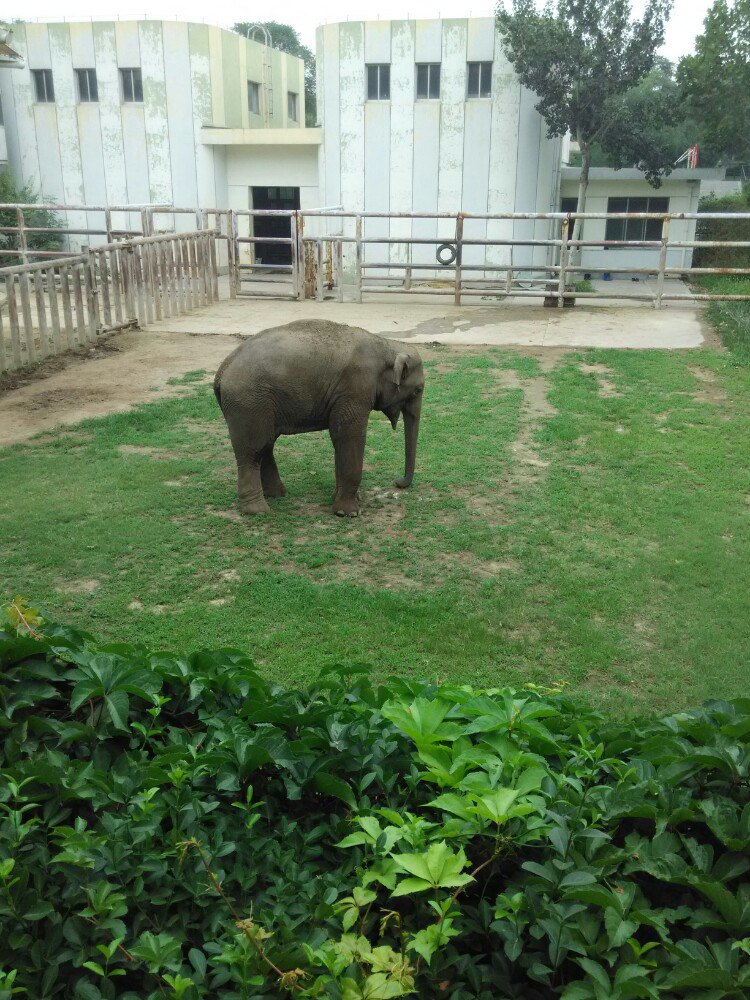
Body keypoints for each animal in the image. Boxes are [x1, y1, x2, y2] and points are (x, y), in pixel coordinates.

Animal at [213, 322, 424, 516]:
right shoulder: (354, 389)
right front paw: (348, 513)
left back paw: (277, 494)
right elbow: (349, 436)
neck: (388, 346)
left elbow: (339, 439)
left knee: (266, 445)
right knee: (254, 450)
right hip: (249, 404)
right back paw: (258, 510)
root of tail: (221, 371)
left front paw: (344, 501)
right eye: (418, 390)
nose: (397, 481)